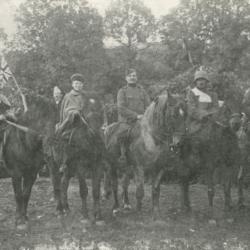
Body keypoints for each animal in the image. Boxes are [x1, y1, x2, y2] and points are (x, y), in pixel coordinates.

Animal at [0, 94, 56, 230]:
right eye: (42, 118)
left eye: (55, 118)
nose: (52, 142)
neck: (23, 143)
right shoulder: (16, 174)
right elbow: (18, 195)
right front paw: (19, 221)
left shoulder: (31, 174)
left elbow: (26, 194)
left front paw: (24, 217)